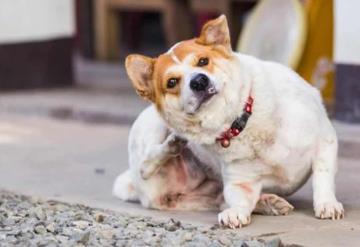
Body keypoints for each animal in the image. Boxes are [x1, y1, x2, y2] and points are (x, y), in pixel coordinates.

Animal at [114, 14, 344, 228]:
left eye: (203, 61)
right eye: (171, 82)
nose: (199, 81)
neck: (239, 122)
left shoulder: (325, 140)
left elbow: (322, 177)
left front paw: (327, 204)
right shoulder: (241, 183)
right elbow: (239, 201)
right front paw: (237, 213)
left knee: (221, 200)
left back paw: (268, 203)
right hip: (150, 131)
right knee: (146, 164)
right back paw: (171, 146)